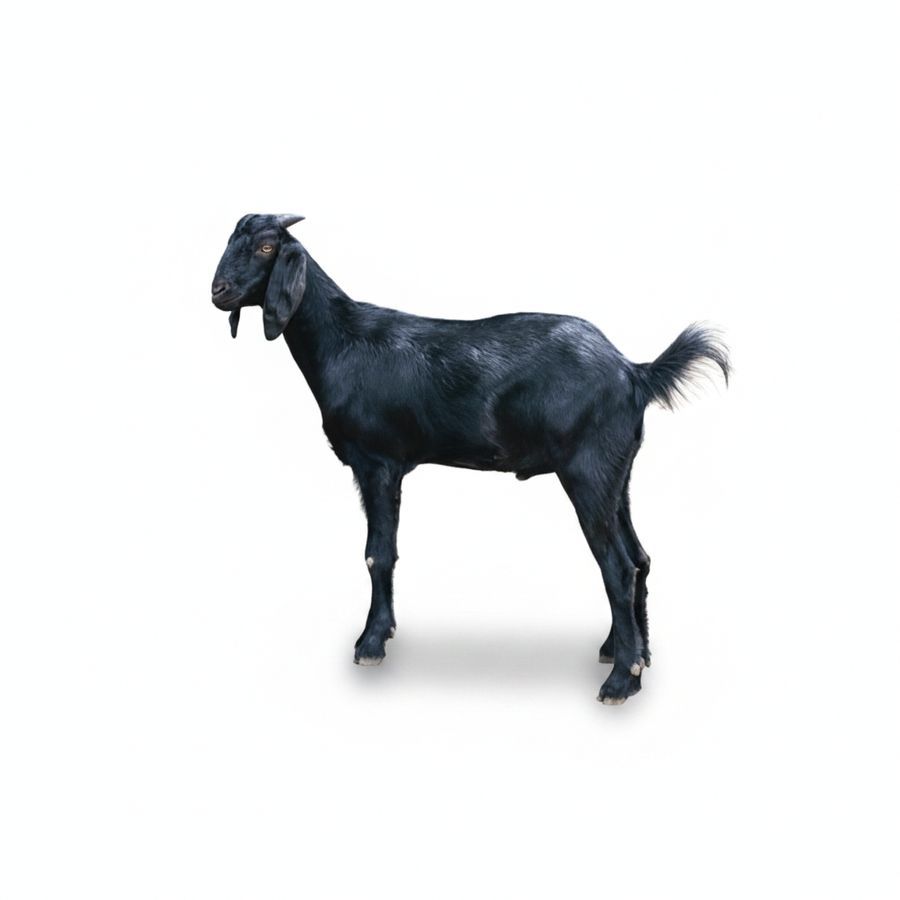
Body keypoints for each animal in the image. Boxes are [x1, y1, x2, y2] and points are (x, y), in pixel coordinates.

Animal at [211, 213, 729, 704]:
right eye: (231, 241)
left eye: (266, 247)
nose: (218, 292)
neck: (343, 341)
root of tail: (633, 372)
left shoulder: (377, 462)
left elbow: (378, 553)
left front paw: (370, 643)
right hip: (617, 474)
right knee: (639, 558)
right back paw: (631, 654)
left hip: (588, 471)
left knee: (618, 567)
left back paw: (621, 681)